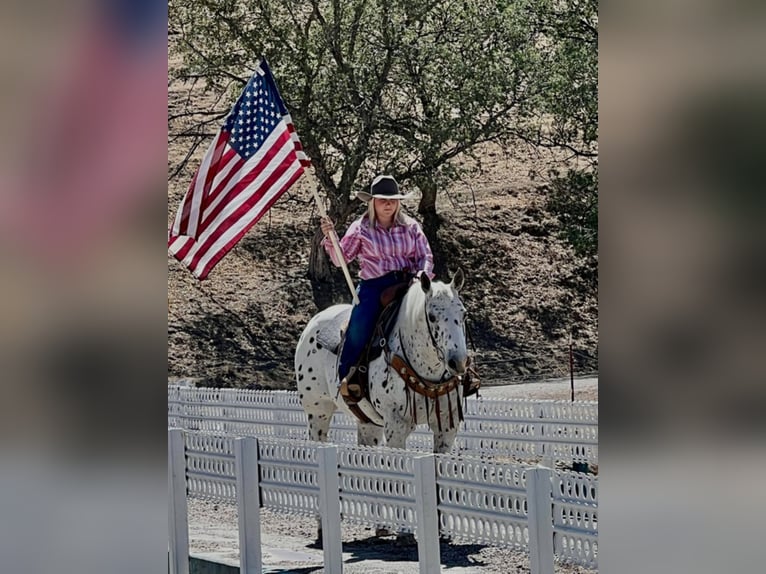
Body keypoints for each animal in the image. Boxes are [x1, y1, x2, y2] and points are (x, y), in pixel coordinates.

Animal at [296, 270, 472, 454]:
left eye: (464, 314)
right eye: (431, 317)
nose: (458, 362)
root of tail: (313, 322)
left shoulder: (446, 425)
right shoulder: (396, 426)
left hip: (368, 423)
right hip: (317, 411)